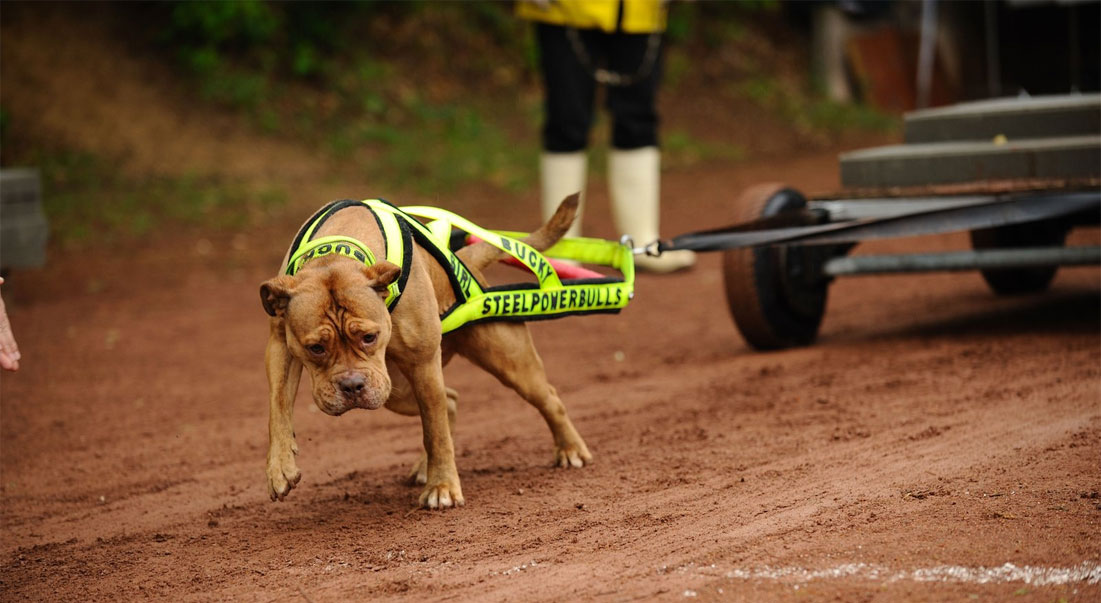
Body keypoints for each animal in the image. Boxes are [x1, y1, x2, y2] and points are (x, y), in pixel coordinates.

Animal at [260, 196, 590, 508]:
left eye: (369, 337)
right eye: (315, 348)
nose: (352, 385)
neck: (335, 254)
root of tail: (465, 261)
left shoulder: (423, 363)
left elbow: (435, 431)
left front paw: (442, 487)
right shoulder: (280, 345)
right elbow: (278, 405)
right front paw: (279, 467)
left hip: (508, 361)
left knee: (546, 398)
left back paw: (570, 449)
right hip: (393, 389)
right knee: (451, 401)